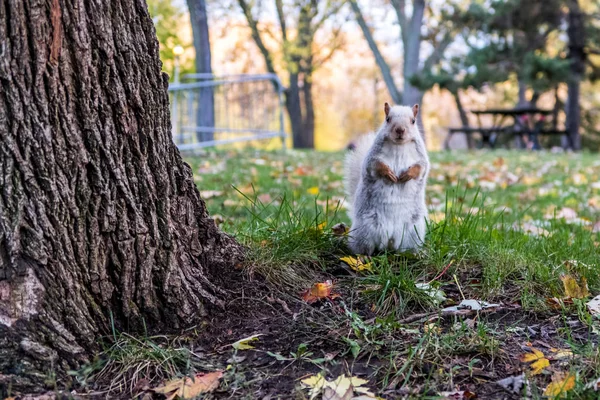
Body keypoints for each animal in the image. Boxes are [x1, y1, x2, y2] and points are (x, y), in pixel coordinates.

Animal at [342, 101, 432, 255]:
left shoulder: (421, 157)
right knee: (364, 248)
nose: (400, 130)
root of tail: (390, 240)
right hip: (365, 230)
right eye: (388, 119)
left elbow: (421, 167)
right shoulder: (373, 157)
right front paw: (388, 173)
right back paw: (363, 256)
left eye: (413, 121)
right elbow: (376, 165)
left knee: (406, 248)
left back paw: (414, 254)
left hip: (413, 231)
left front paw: (408, 174)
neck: (399, 146)